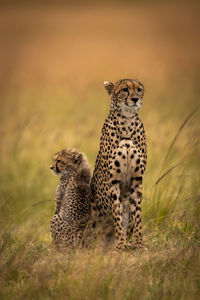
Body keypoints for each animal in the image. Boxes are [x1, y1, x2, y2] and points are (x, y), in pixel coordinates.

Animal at [90, 78, 147, 250]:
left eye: (139, 89)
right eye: (125, 90)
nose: (135, 99)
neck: (127, 122)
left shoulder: (137, 179)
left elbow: (137, 213)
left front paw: (139, 243)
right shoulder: (113, 181)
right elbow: (117, 213)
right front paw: (120, 243)